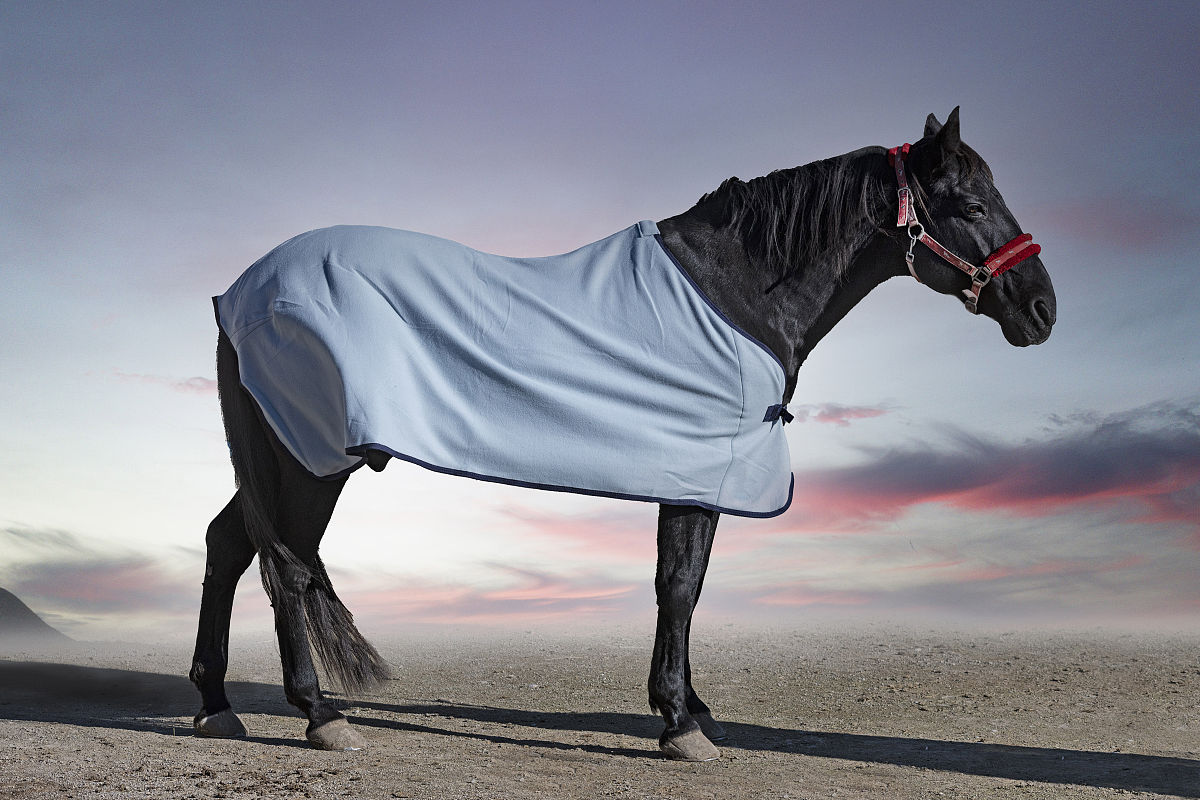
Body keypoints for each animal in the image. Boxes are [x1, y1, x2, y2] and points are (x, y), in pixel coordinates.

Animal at [189, 108, 1056, 761]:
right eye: (972, 207)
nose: (1042, 309)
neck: (735, 293)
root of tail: (242, 291)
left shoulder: (701, 475)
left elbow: (690, 587)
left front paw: (693, 709)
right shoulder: (699, 473)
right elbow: (679, 588)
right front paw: (678, 723)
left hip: (284, 456)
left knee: (230, 544)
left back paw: (216, 703)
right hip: (311, 459)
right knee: (287, 565)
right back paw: (320, 715)